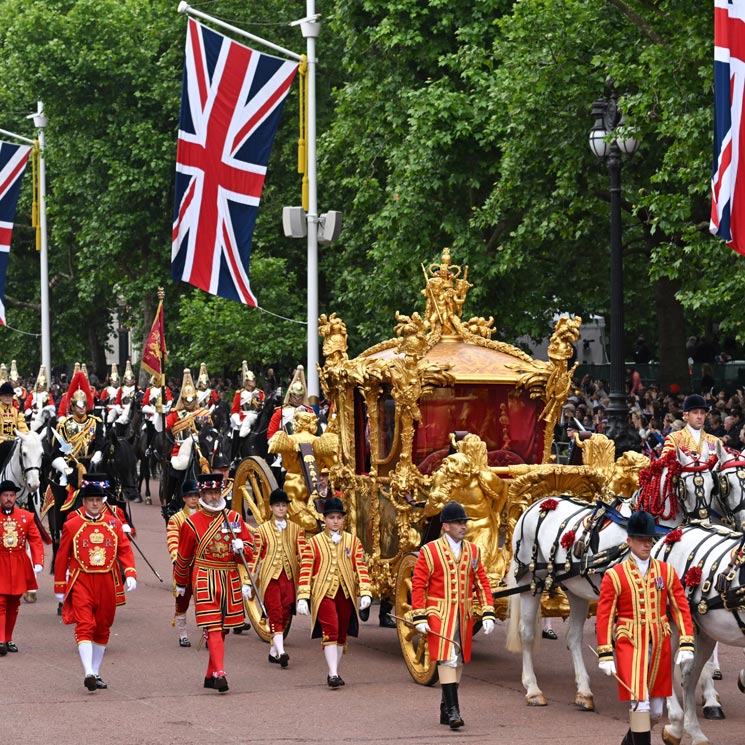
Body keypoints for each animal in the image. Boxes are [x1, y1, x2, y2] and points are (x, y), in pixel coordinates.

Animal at [652, 520, 744, 744]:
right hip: (672, 624)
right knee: (667, 666)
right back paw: (675, 725)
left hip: (704, 632)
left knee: (689, 675)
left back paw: (694, 731)